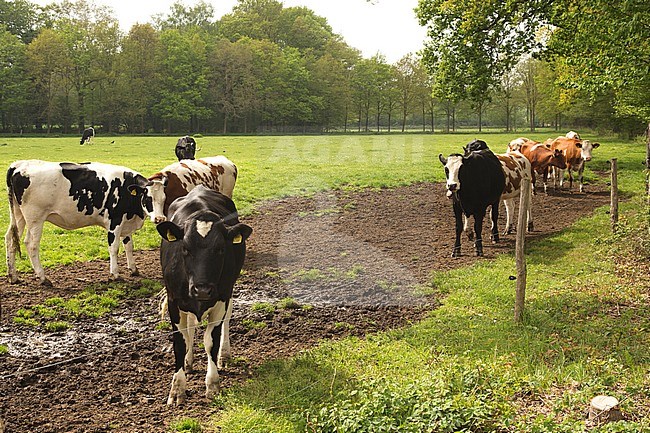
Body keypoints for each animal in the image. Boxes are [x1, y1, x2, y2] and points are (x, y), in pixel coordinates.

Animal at [6, 159, 154, 284]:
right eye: (147, 197)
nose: (158, 218)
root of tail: (19, 165)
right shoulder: (115, 221)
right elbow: (114, 248)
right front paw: (115, 274)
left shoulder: (125, 222)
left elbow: (129, 246)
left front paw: (133, 269)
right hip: (35, 218)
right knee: (31, 244)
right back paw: (42, 277)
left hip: (19, 216)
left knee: (10, 239)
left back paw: (13, 276)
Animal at [154, 186, 251, 404]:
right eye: (185, 248)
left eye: (220, 249)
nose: (202, 289)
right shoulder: (174, 301)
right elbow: (180, 342)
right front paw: (177, 389)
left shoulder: (221, 298)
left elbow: (211, 342)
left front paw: (212, 384)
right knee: (190, 328)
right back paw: (189, 361)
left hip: (228, 292)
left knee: (226, 321)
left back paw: (224, 355)